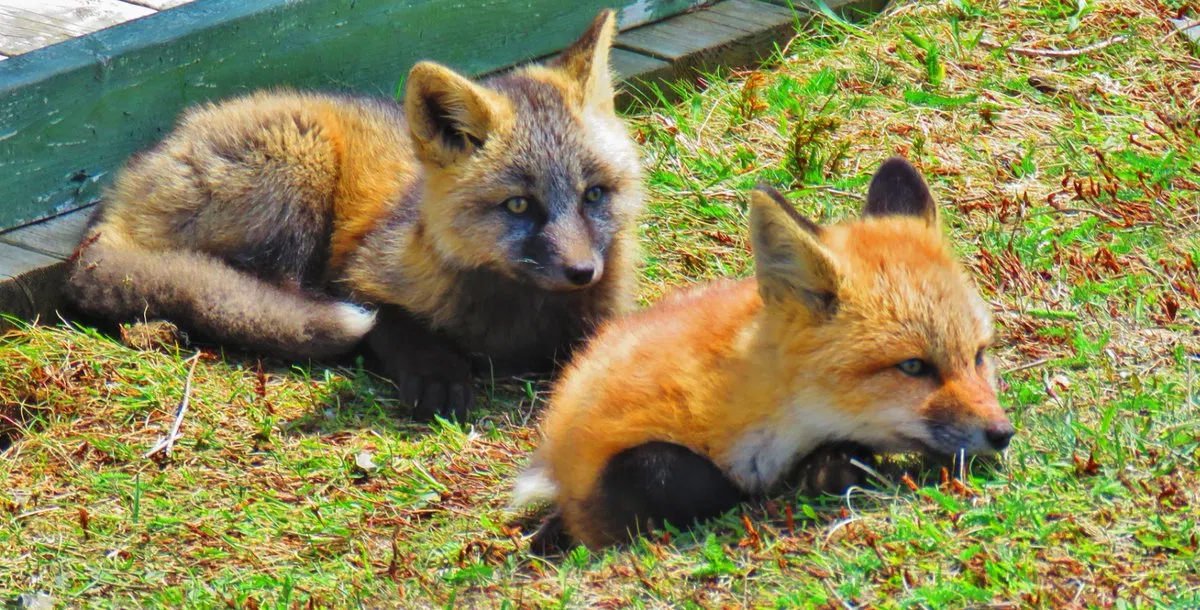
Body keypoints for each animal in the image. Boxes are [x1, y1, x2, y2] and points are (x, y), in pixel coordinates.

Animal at [64, 10, 644, 420]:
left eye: (594, 194)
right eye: (519, 204)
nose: (582, 272)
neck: (516, 325)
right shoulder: (359, 274)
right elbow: (390, 321)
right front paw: (436, 371)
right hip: (302, 168)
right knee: (268, 297)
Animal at [510, 157, 1016, 551]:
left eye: (978, 356)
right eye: (913, 366)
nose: (1002, 434)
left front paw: (829, 468)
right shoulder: (603, 460)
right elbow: (674, 474)